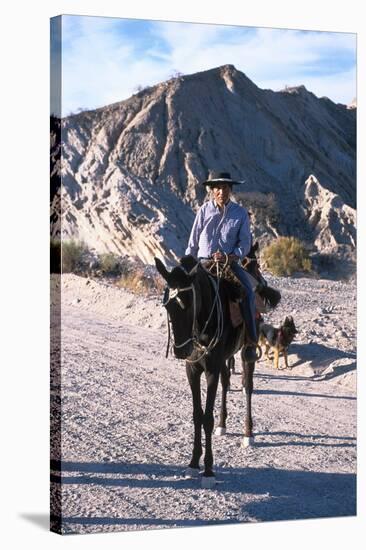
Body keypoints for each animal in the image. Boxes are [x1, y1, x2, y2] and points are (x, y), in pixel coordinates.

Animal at [154, 256, 258, 490]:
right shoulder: (192, 370)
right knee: (226, 382)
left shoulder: (210, 370)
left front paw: (209, 470)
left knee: (248, 387)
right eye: (168, 305)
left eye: (189, 303)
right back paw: (223, 425)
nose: (181, 350)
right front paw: (193, 463)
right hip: (222, 361)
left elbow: (207, 418)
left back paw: (248, 434)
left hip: (246, 351)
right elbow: (197, 415)